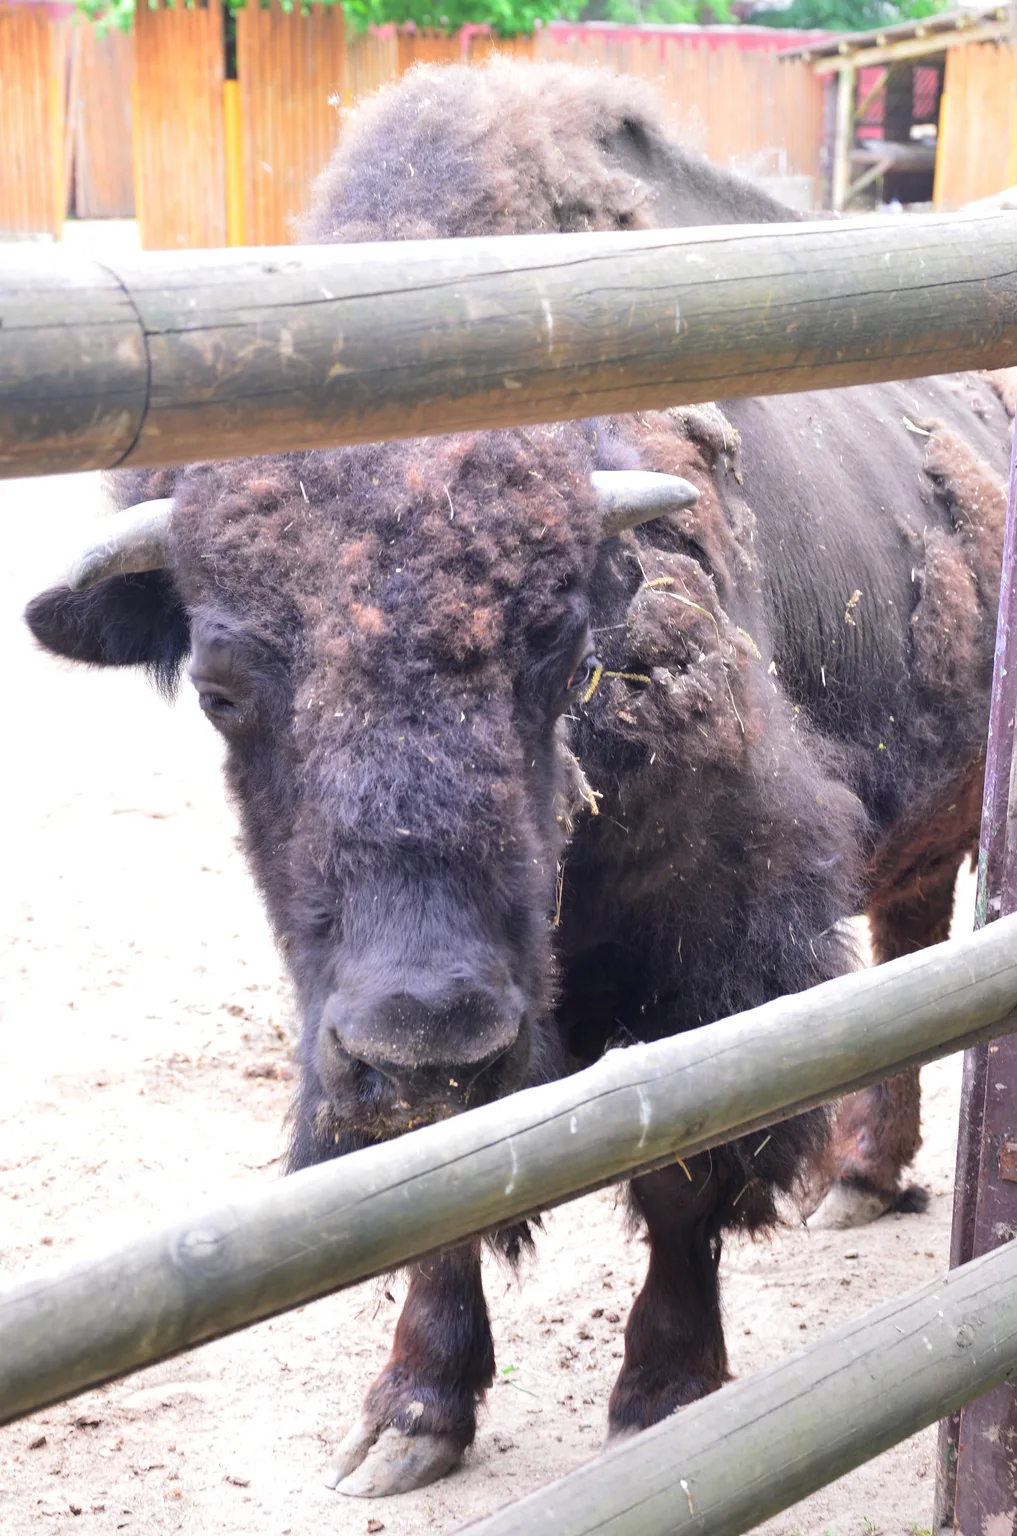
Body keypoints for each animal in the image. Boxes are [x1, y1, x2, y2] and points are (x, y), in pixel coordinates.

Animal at [25, 61, 1013, 1497]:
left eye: (563, 653)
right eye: (220, 687)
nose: (426, 1031)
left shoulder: (712, 948)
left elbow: (683, 1171)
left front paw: (666, 1395)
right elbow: (437, 1198)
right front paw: (411, 1414)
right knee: (908, 939)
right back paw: (862, 1176)